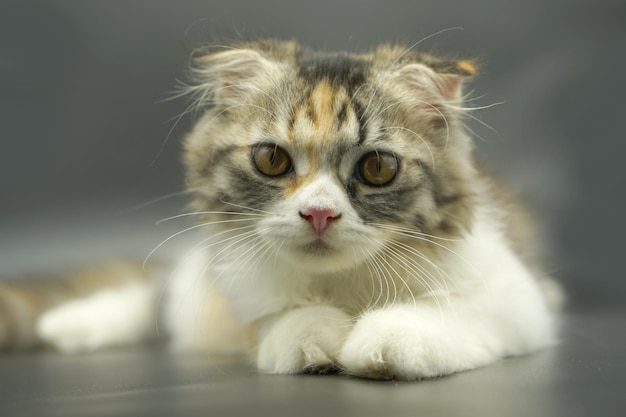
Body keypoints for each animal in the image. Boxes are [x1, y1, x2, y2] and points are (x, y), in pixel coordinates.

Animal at [0, 39, 560, 380]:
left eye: (377, 167)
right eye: (272, 160)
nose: (319, 214)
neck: (341, 287)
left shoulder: (515, 294)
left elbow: (440, 313)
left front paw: (380, 341)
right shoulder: (237, 288)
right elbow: (280, 321)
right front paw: (318, 337)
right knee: (153, 296)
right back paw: (68, 325)